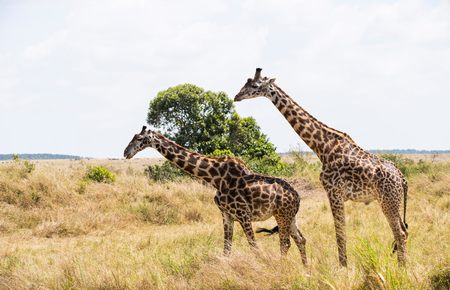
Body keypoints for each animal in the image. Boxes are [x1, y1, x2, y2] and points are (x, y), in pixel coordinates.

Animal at [123, 125, 308, 264]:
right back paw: (306, 270)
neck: (215, 178)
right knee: (300, 239)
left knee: (285, 243)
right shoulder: (226, 215)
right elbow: (226, 249)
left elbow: (253, 246)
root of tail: (298, 197)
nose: (126, 153)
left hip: (281, 215)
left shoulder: (243, 215)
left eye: (139, 138)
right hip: (290, 216)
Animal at [234, 67, 410, 266]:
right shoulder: (336, 194)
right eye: (245, 83)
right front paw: (343, 265)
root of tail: (402, 179)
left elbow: (340, 232)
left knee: (400, 233)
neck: (322, 147)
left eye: (255, 86)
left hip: (388, 200)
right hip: (392, 201)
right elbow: (341, 231)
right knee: (403, 231)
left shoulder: (334, 191)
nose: (237, 96)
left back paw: (402, 268)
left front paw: (343, 267)